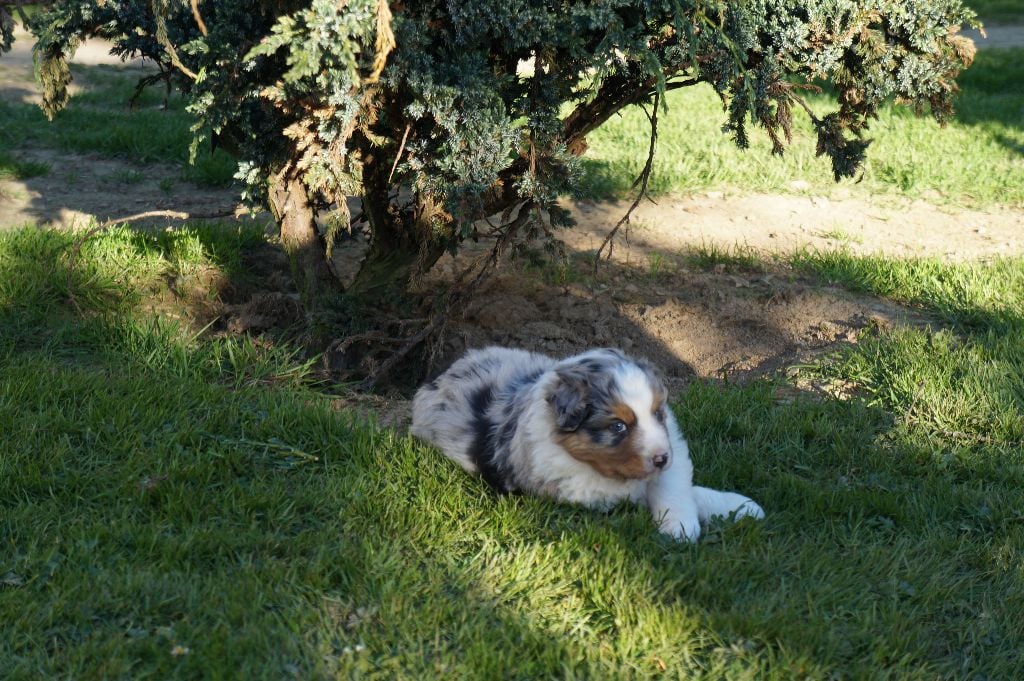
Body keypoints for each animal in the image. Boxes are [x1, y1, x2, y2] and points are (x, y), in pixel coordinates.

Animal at [410, 346, 763, 541]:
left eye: (657, 414)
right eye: (618, 426)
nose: (662, 458)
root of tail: (440, 375)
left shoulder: (671, 442)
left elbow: (677, 485)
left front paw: (739, 506)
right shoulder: (580, 487)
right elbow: (644, 491)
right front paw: (682, 528)